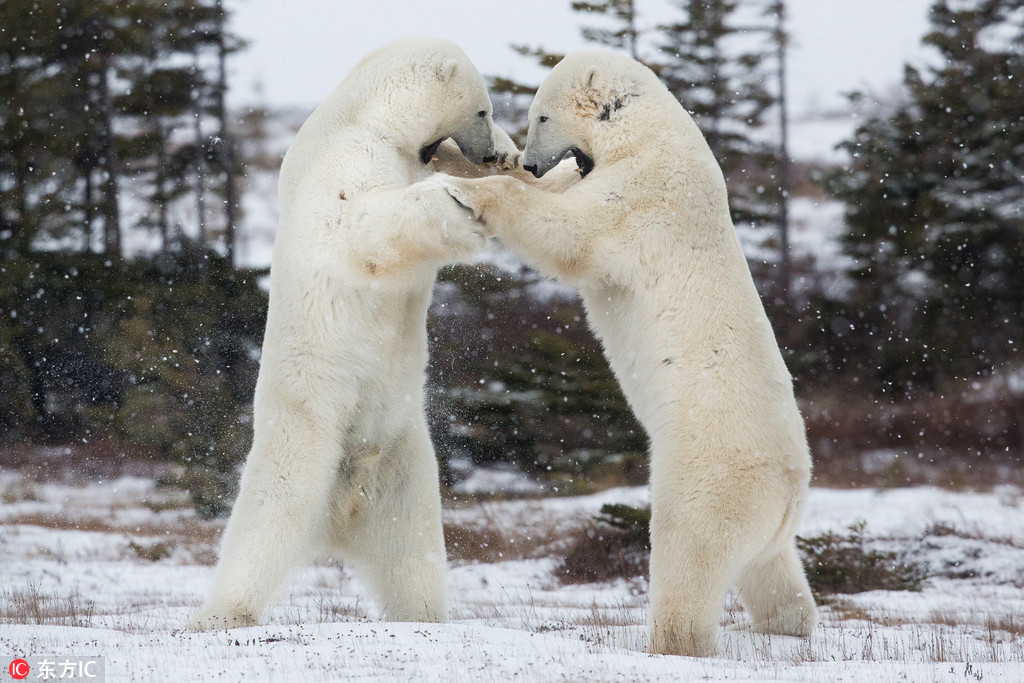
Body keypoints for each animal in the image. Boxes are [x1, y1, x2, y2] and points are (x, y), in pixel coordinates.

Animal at [189, 38, 520, 630]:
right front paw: (457, 206)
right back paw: (219, 615)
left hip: (404, 466)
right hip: (307, 438)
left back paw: (425, 615)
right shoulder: (345, 163)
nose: (486, 153)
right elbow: (361, 223)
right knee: (266, 522)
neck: (367, 116)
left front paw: (508, 162)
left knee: (415, 555)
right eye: (481, 109)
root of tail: (342, 511)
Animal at [444, 50, 819, 659]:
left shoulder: (643, 193)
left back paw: (669, 640)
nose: (531, 160)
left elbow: (569, 231)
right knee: (772, 570)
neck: (648, 135)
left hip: (707, 472)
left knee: (687, 550)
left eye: (541, 116)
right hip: (770, 526)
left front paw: (464, 188)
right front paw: (475, 159)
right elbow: (561, 197)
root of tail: (790, 491)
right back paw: (779, 623)